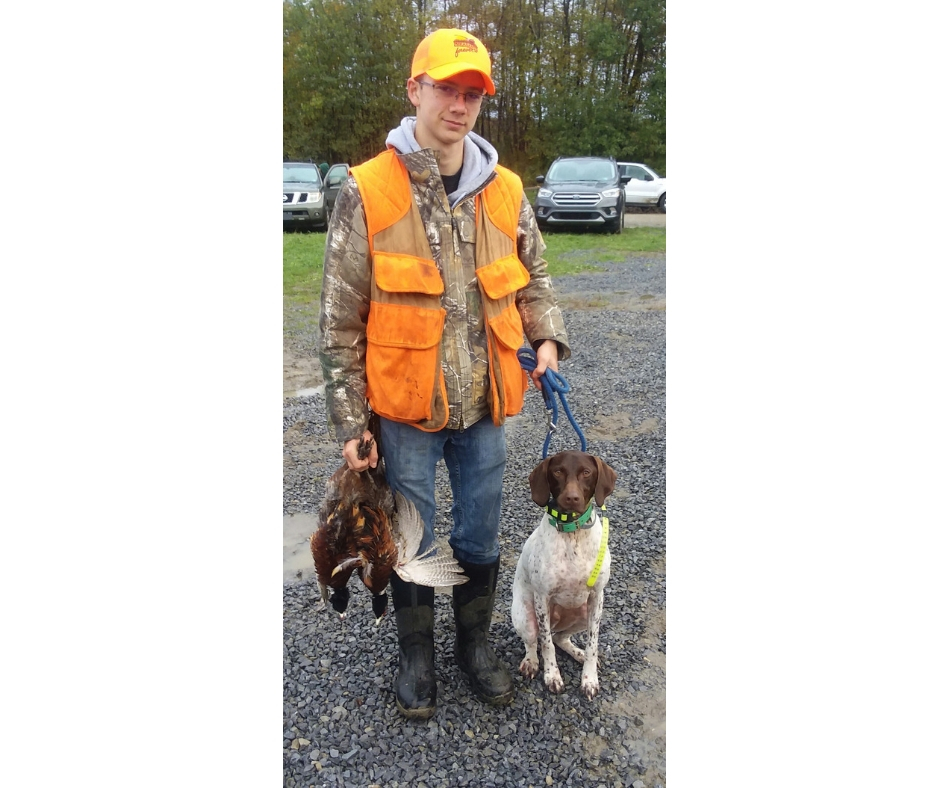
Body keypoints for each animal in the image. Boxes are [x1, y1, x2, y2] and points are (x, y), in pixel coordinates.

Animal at [516, 452, 616, 700]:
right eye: (558, 471)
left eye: (587, 472)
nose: (571, 498)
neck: (573, 533)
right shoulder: (542, 597)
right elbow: (546, 644)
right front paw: (552, 676)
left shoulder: (597, 596)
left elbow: (593, 643)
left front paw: (589, 679)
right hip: (525, 617)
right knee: (535, 641)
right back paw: (531, 662)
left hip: (583, 613)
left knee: (560, 637)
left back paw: (577, 653)